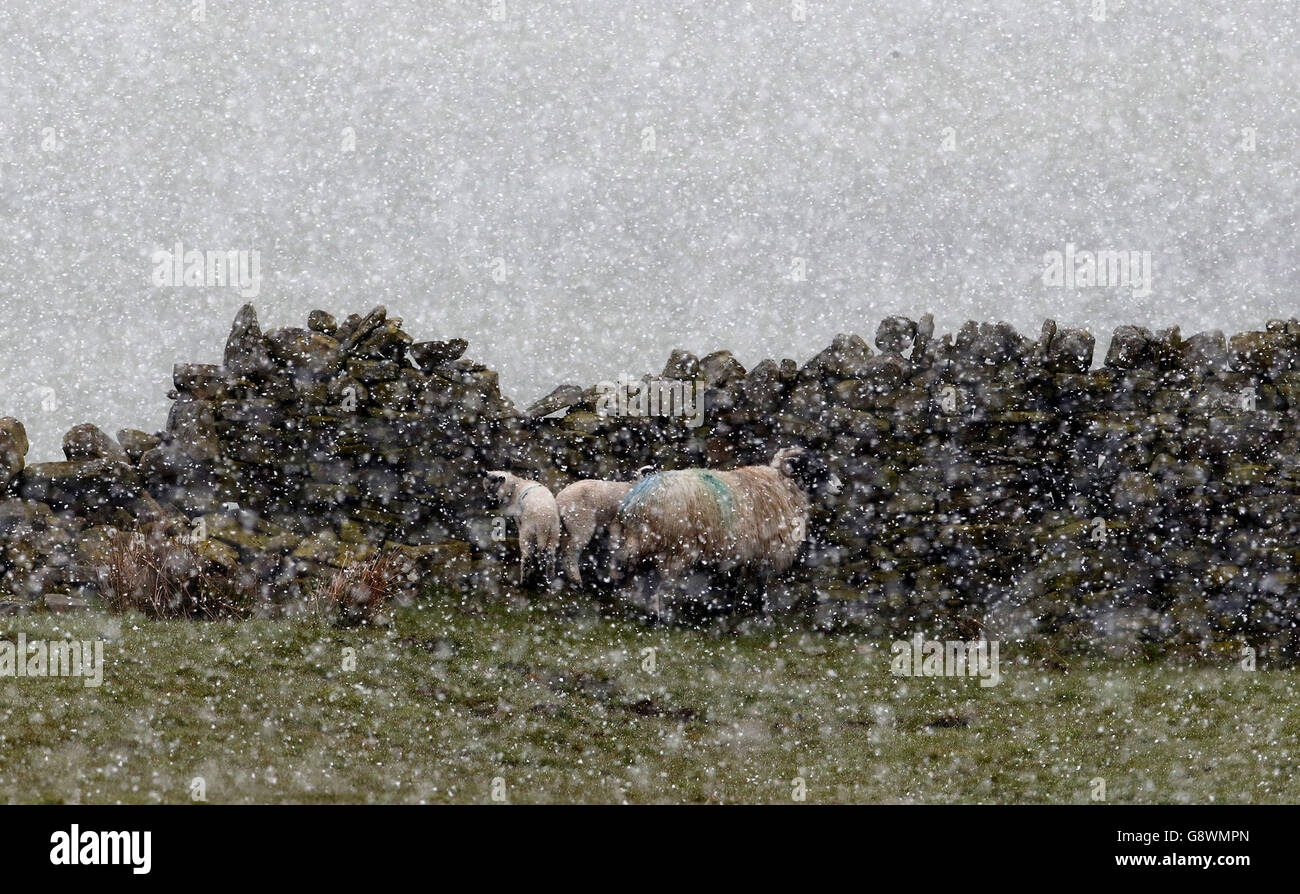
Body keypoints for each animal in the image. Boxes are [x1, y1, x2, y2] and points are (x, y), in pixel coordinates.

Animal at [611, 447, 837, 621]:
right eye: (814, 467)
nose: (839, 485)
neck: (782, 485)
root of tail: (637, 499)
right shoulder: (764, 548)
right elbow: (759, 584)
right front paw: (764, 616)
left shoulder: (739, 550)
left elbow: (732, 582)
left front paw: (728, 611)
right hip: (671, 546)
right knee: (654, 583)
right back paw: (658, 617)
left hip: (644, 545)